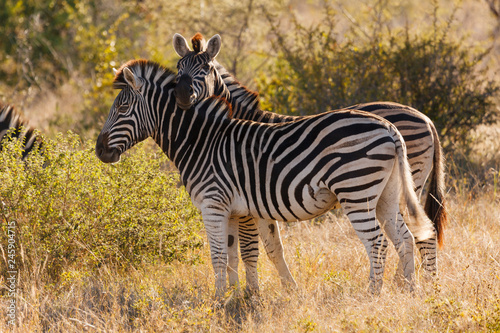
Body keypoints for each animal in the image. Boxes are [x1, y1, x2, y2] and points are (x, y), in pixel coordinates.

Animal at [95, 58, 436, 296]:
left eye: (122, 108)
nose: (99, 150)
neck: (201, 140)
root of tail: (389, 128)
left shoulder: (213, 204)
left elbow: (218, 255)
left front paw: (217, 302)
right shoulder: (234, 209)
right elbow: (233, 255)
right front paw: (235, 298)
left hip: (356, 189)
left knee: (378, 242)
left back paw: (372, 295)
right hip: (386, 193)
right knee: (406, 238)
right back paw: (410, 291)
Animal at [172, 31, 446, 290]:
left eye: (205, 69)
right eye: (178, 67)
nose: (182, 95)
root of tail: (426, 119)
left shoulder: (247, 202)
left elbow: (250, 248)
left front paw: (251, 292)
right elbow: (251, 249)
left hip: (398, 182)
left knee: (418, 234)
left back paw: (413, 282)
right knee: (419, 232)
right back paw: (422, 282)